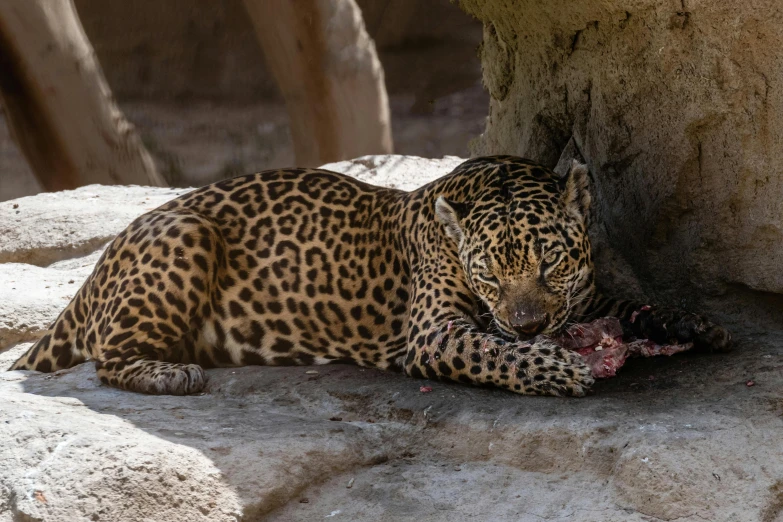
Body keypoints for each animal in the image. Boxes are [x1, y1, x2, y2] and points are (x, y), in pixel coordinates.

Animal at [12, 154, 732, 394]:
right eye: (488, 276)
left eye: (550, 262)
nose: (528, 325)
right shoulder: (435, 333)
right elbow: (494, 352)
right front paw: (557, 368)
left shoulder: (583, 299)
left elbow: (632, 305)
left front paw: (692, 321)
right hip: (182, 235)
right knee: (107, 357)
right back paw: (169, 374)